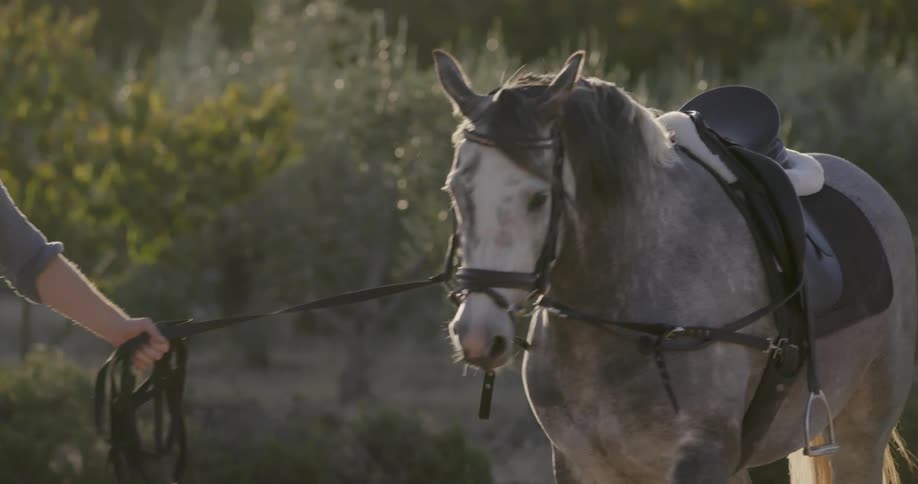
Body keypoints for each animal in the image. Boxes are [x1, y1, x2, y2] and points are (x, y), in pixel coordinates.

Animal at [432, 49, 917, 484]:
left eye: (537, 198)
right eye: (455, 191)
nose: (476, 334)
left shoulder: (699, 456)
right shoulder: (578, 461)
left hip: (859, 436)